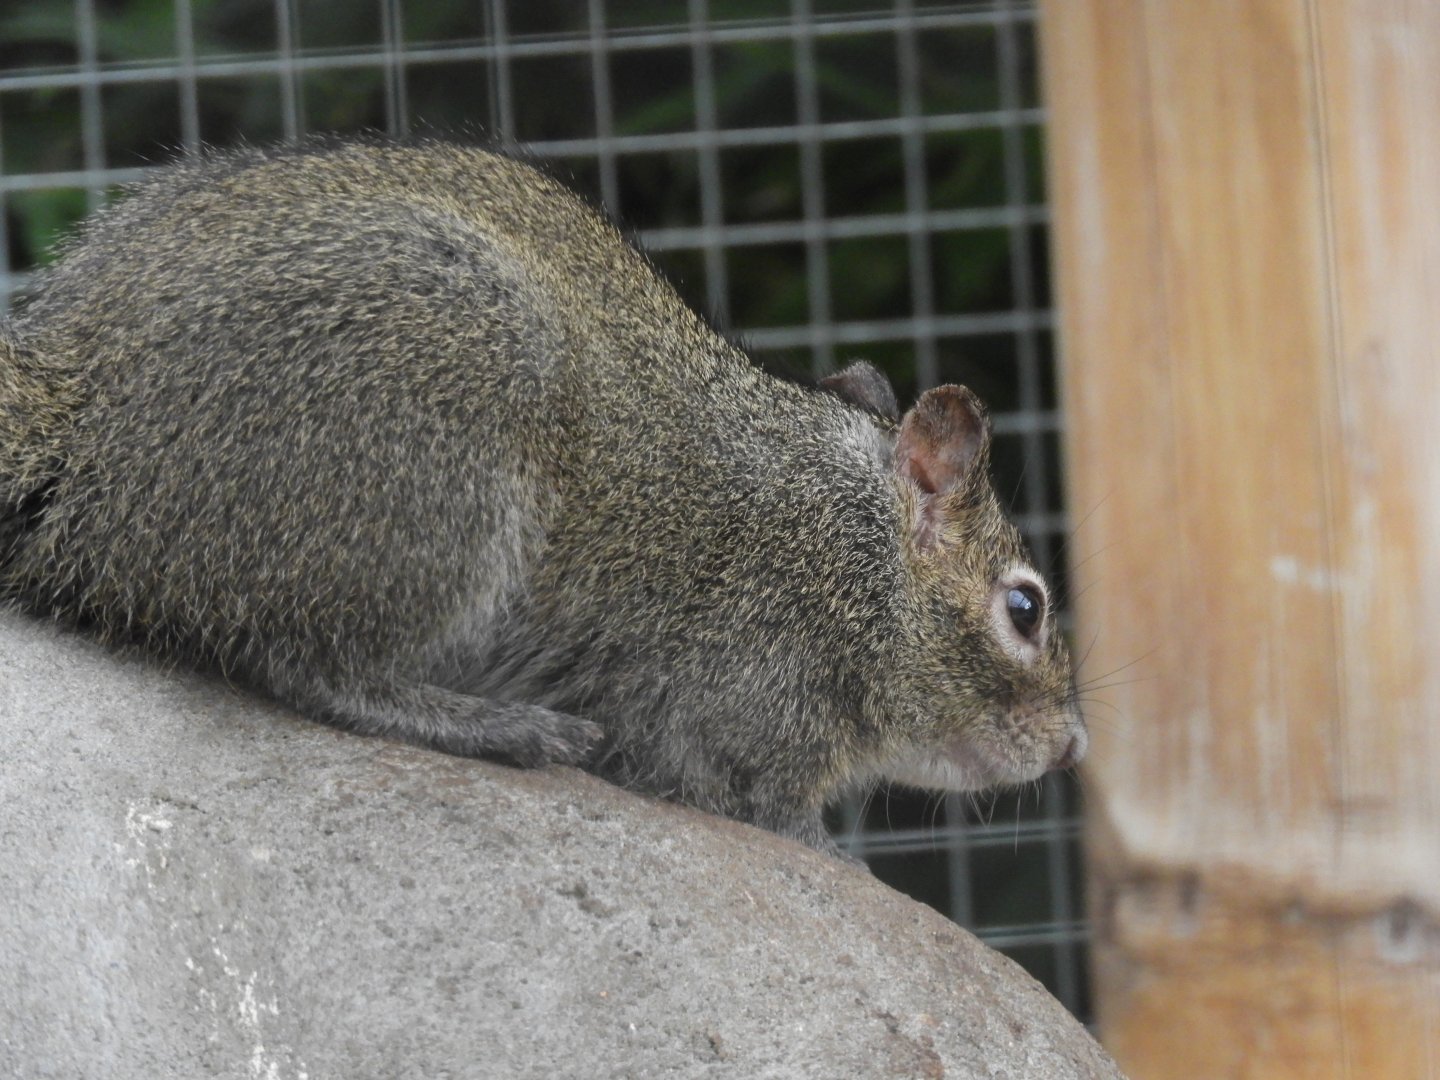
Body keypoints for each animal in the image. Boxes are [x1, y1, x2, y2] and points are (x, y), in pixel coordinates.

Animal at [0, 138, 1085, 857]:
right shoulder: (744, 692)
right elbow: (752, 802)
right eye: (1024, 609)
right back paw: (499, 727)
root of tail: (87, 434)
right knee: (304, 663)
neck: (853, 556)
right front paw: (823, 844)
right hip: (423, 473)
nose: (1072, 747)